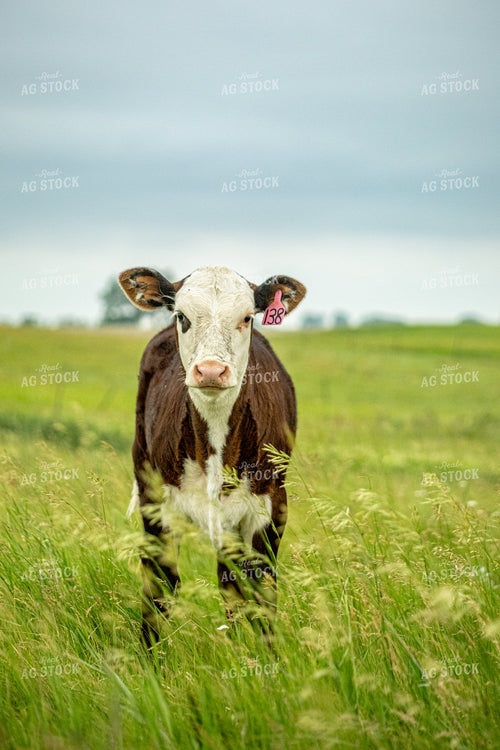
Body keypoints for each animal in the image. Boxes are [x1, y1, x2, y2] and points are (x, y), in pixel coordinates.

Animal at [118, 265, 306, 647]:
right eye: (182, 316)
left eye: (247, 317)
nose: (210, 371)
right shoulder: (161, 506)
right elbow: (160, 586)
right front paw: (148, 657)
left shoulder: (270, 507)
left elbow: (261, 590)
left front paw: (266, 656)